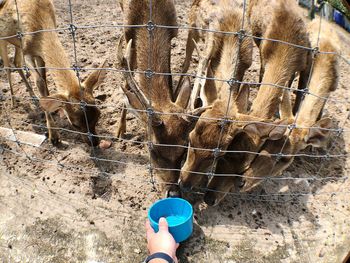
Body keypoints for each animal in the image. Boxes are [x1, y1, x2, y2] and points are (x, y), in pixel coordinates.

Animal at [0, 0, 106, 146]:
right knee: (7, 66)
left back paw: (32, 97)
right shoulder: (27, 51)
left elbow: (44, 77)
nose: (94, 142)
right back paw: (13, 101)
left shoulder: (39, 54)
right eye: (75, 124)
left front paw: (51, 103)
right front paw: (53, 136)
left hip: (16, 43)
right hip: (3, 39)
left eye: (98, 114)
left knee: (16, 62)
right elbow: (40, 82)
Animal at [116, 0, 208, 198]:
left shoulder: (173, 29)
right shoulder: (127, 33)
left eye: (184, 149)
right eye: (152, 149)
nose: (173, 193)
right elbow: (127, 85)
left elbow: (170, 76)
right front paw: (120, 130)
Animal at [241, 20, 340, 194]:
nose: (243, 181)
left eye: (284, 158)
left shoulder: (330, 89)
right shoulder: (306, 70)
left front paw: (313, 147)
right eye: (264, 145)